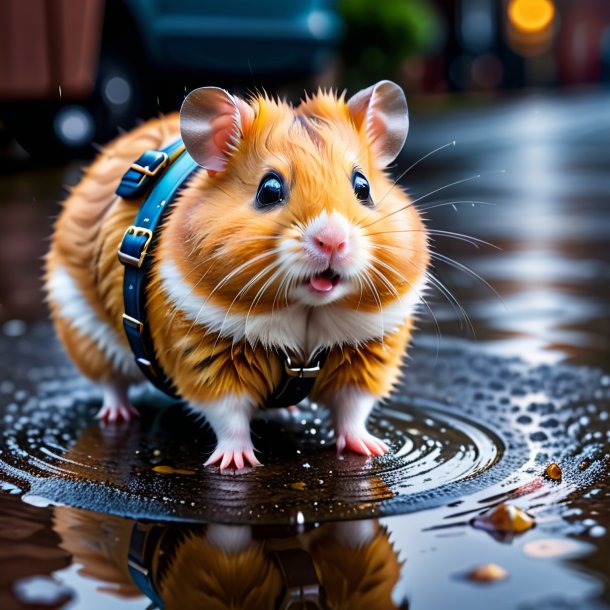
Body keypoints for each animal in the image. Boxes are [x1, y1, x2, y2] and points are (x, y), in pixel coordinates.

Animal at [44, 79, 428, 470]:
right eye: (269, 190)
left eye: (363, 187)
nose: (333, 241)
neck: (307, 311)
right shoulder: (205, 359)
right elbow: (229, 416)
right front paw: (235, 463)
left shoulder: (368, 355)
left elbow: (353, 409)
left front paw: (373, 448)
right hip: (84, 334)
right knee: (111, 385)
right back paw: (118, 415)